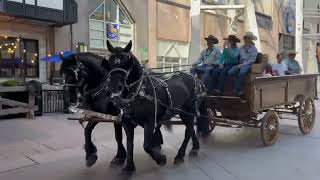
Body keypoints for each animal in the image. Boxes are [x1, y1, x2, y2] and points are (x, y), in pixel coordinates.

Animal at [100, 40, 210, 173]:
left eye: (127, 63)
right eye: (109, 63)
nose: (115, 87)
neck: (139, 91)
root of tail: (198, 81)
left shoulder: (150, 121)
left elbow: (146, 145)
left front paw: (160, 158)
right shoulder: (127, 123)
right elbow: (129, 144)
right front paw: (129, 167)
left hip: (187, 112)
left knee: (188, 130)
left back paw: (180, 155)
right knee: (191, 129)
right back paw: (195, 148)